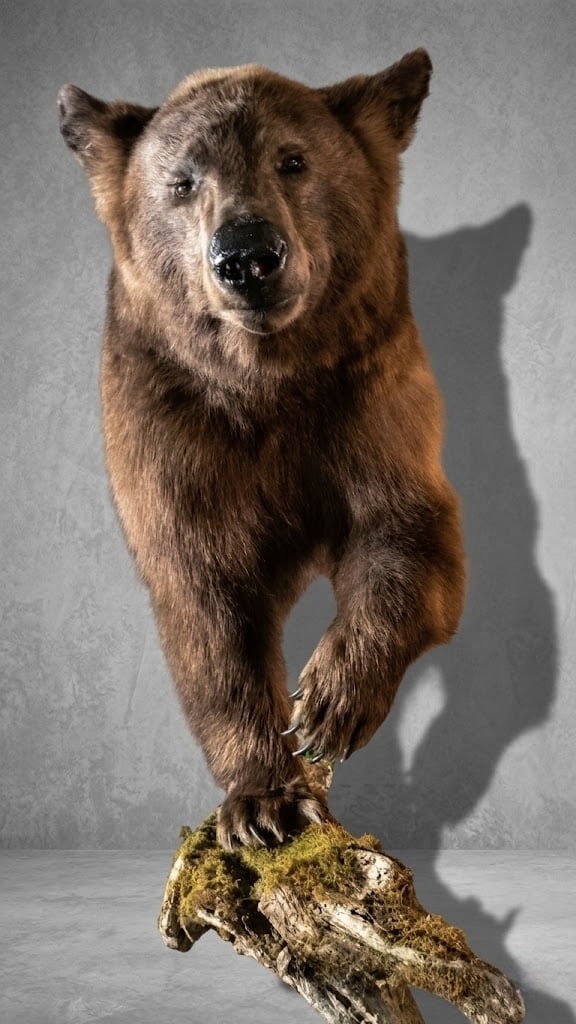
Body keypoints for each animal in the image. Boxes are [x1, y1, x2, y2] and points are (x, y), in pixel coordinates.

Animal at [57, 48, 466, 851]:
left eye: (293, 158)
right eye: (182, 181)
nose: (247, 256)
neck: (267, 382)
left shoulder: (367, 400)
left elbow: (409, 534)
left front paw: (328, 704)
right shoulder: (173, 436)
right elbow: (209, 608)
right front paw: (266, 801)